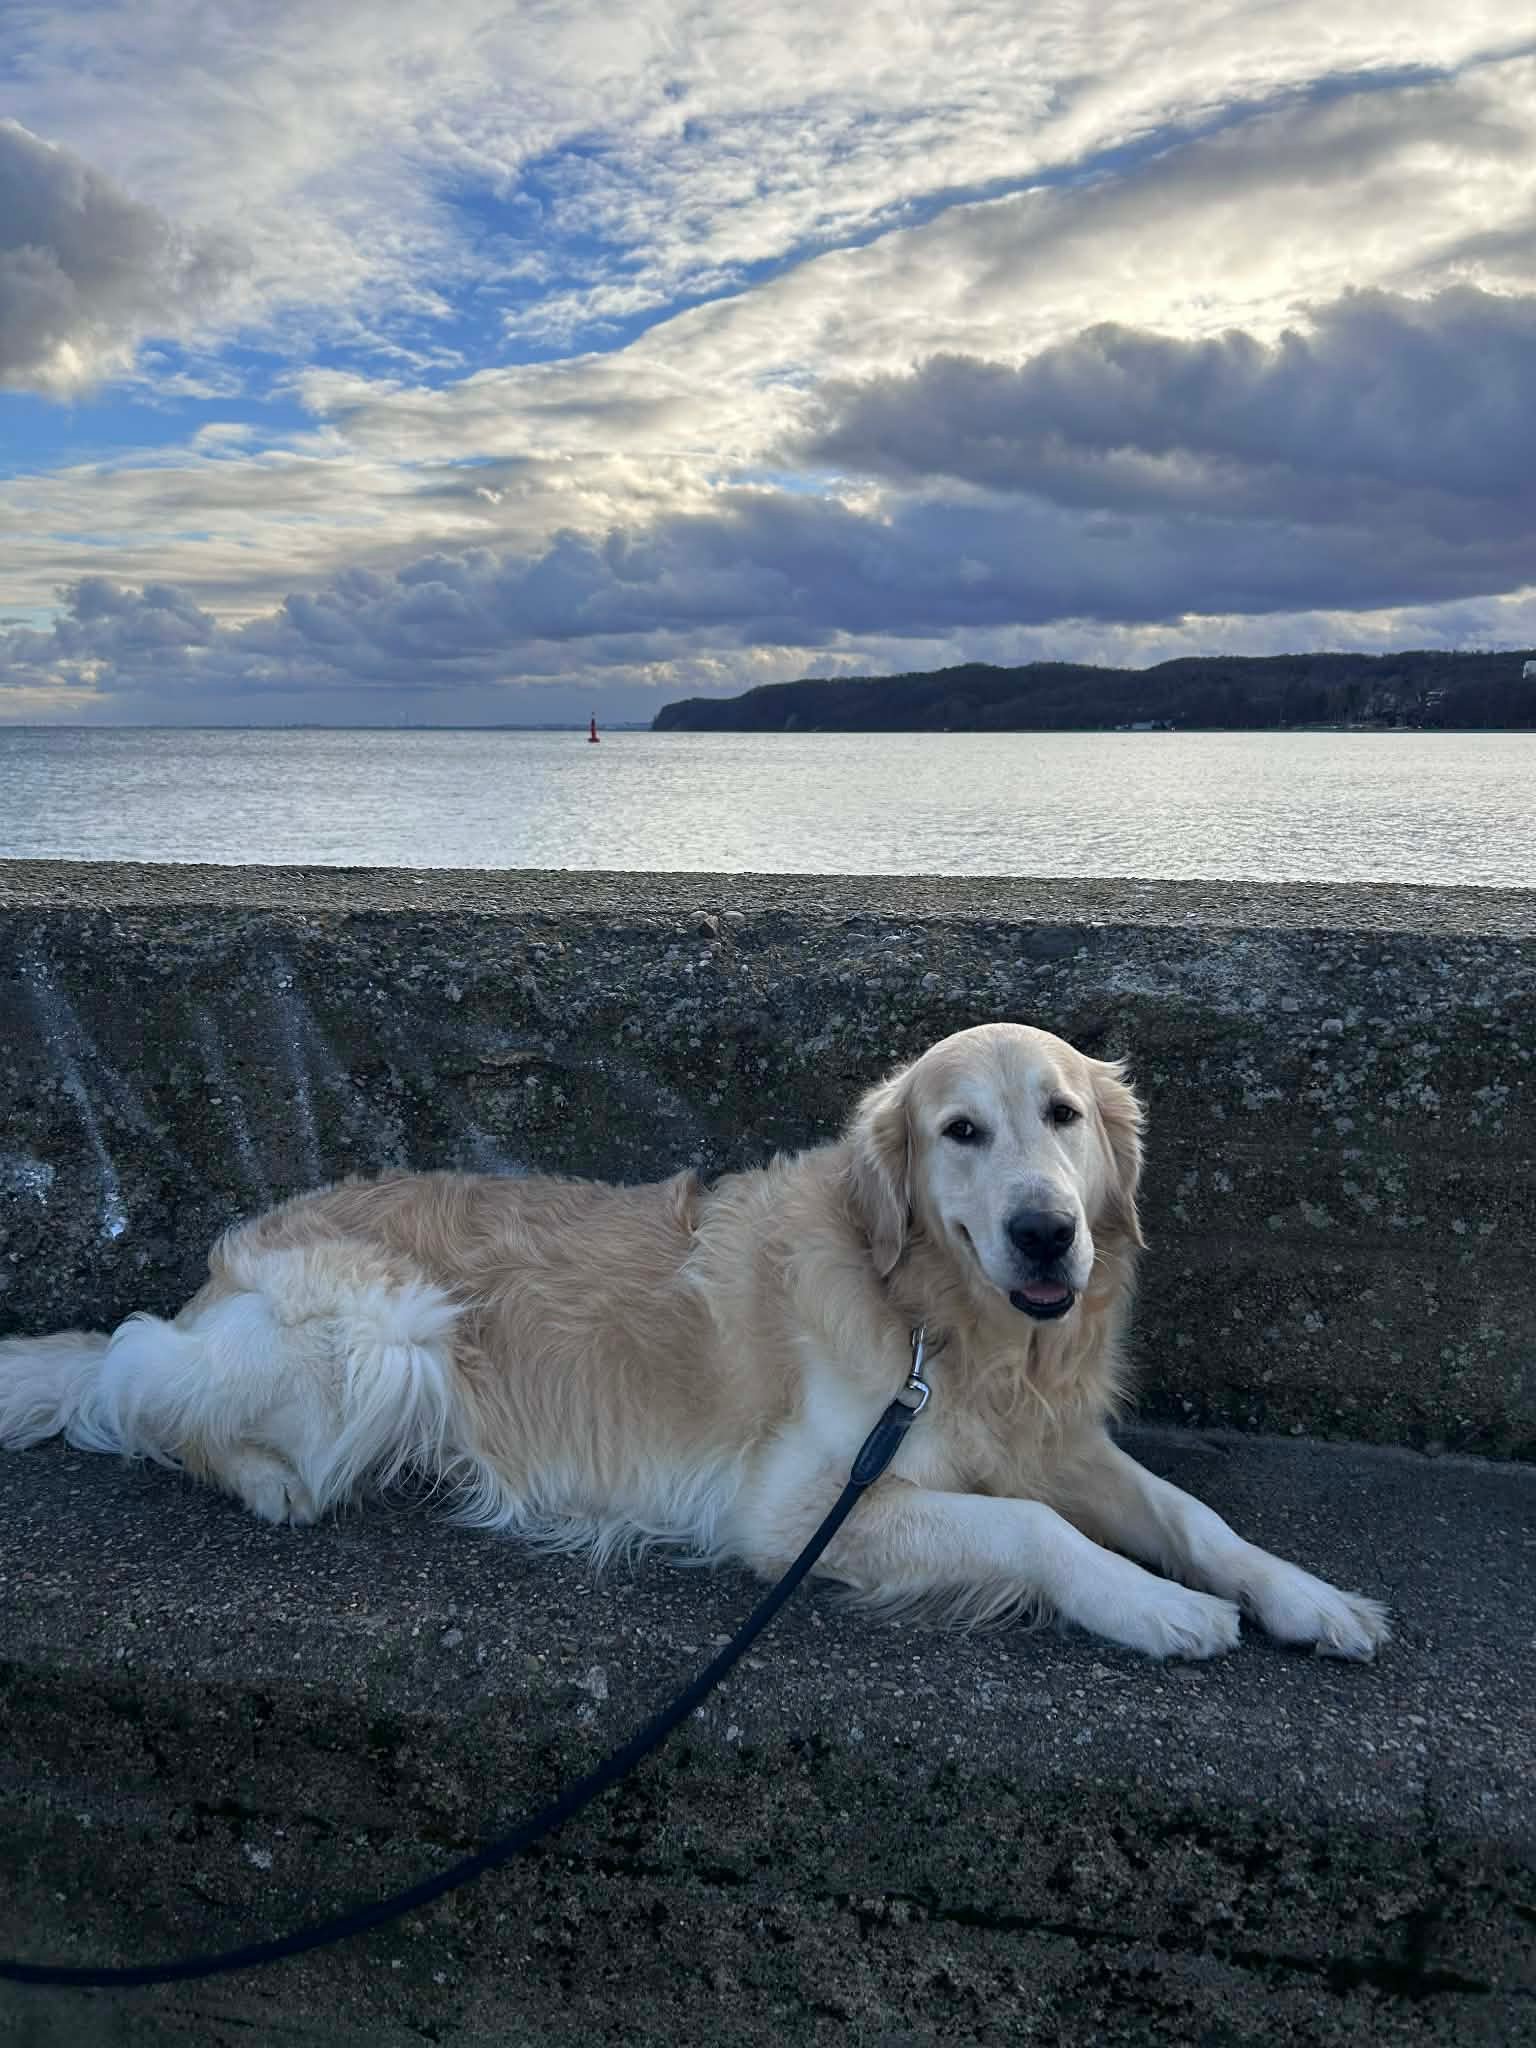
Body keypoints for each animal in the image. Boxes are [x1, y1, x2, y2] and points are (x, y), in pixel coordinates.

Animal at [0, 1022, 1388, 1661]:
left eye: (1063, 1115)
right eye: (960, 1131)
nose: (1047, 1234)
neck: (945, 1323)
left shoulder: (1052, 1437)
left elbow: (1195, 1512)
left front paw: (1307, 1595)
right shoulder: (799, 1507)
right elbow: (1036, 1531)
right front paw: (1157, 1607)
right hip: (383, 1338)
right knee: (137, 1377)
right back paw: (268, 1479)